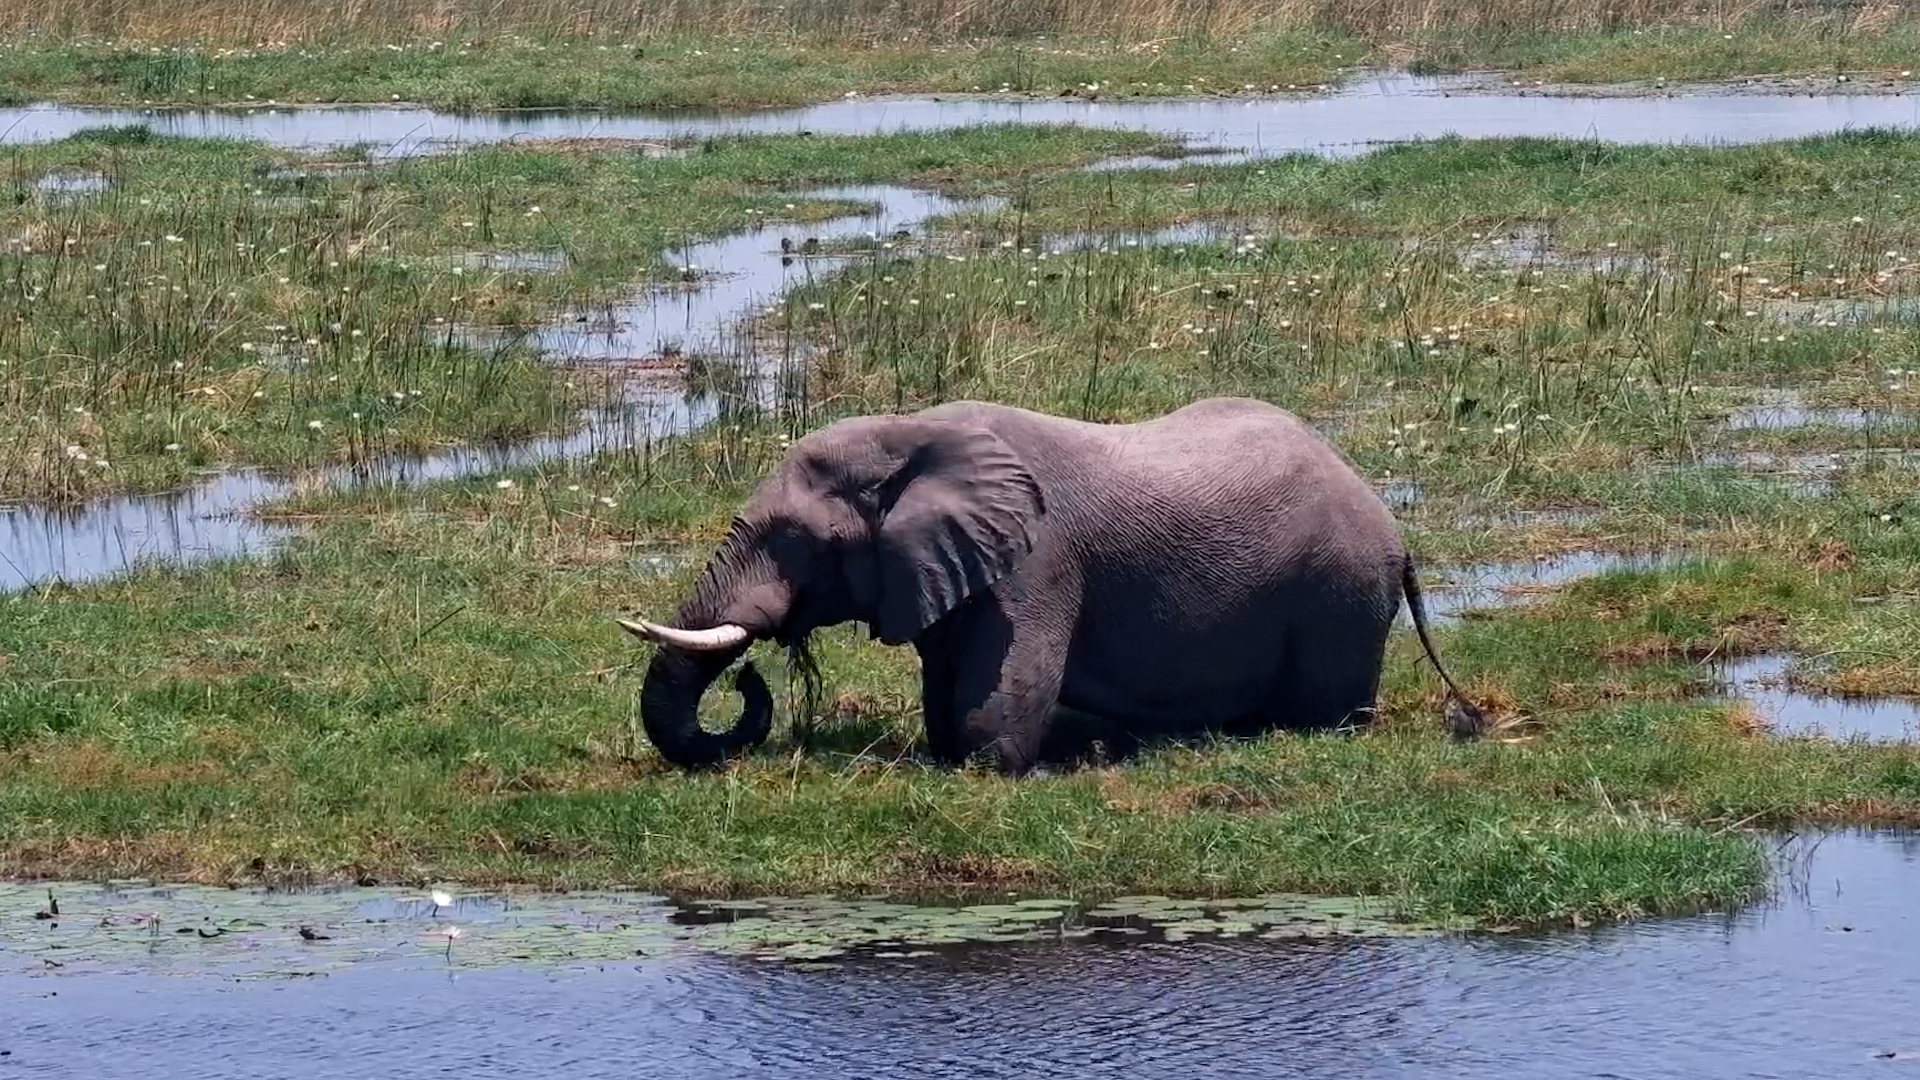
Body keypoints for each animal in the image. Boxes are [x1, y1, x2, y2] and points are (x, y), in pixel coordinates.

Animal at [619, 396, 1486, 775]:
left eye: (796, 541)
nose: (750, 677)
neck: (914, 432)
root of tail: (1391, 522)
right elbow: (945, 689)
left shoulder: (1039, 564)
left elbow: (997, 705)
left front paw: (983, 771)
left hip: (1339, 592)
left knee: (1325, 713)